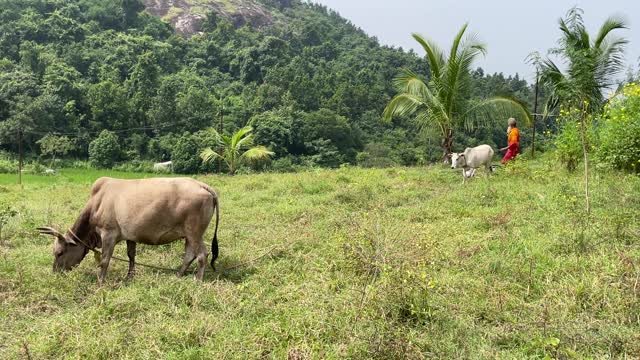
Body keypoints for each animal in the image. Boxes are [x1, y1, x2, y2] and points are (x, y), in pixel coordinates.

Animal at [40, 178, 221, 284]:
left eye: (59, 253)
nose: (55, 272)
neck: (97, 203)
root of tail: (203, 186)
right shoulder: (130, 236)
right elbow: (131, 255)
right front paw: (129, 276)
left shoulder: (109, 234)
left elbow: (105, 260)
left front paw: (100, 282)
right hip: (189, 235)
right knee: (190, 255)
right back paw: (177, 275)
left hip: (194, 232)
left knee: (202, 255)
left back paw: (197, 280)